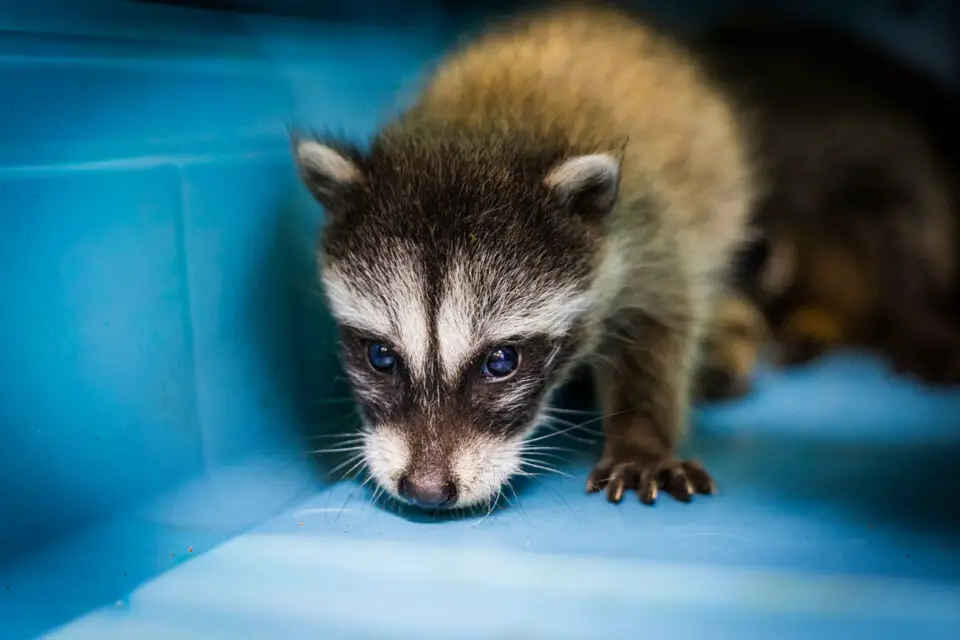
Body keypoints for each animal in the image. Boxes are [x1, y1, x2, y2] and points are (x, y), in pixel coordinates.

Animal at [294, 4, 754, 509]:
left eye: (500, 362)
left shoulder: (647, 237)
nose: (426, 491)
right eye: (380, 356)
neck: (479, 133)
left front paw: (642, 436)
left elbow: (658, 327)